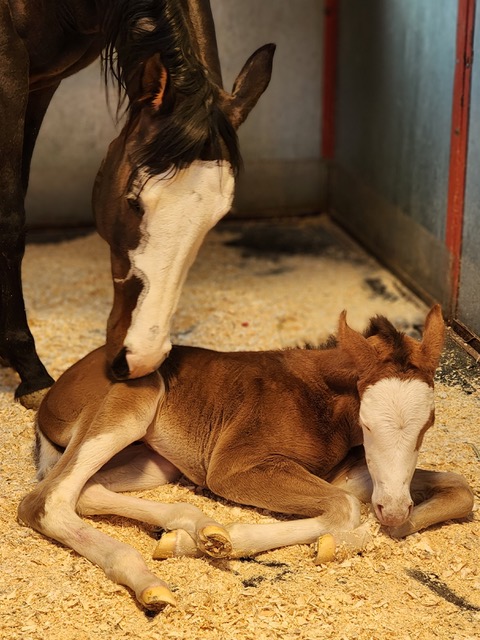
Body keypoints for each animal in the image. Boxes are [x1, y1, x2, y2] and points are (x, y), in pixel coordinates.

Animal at [0, 1, 276, 404]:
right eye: (133, 202)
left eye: (216, 218)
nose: (140, 359)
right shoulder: (10, 73)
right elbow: (10, 218)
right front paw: (30, 371)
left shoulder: (42, 83)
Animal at [17, 308, 472, 612]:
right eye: (368, 423)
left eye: (429, 423)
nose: (393, 509)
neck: (322, 399)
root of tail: (52, 396)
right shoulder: (235, 467)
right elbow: (346, 507)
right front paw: (230, 542)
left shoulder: (352, 473)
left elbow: (461, 487)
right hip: (133, 403)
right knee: (45, 500)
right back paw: (153, 578)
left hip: (155, 461)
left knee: (88, 490)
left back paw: (197, 527)